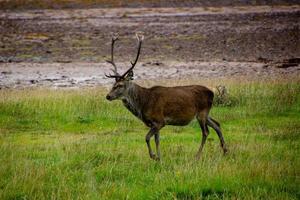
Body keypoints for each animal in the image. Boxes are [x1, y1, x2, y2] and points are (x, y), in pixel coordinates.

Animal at [105, 33, 227, 161]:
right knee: (217, 124)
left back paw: (197, 155)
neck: (143, 103)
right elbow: (157, 140)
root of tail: (212, 93)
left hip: (202, 112)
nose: (108, 96)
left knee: (206, 132)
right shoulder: (154, 123)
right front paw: (159, 158)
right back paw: (225, 151)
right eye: (113, 84)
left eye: (120, 85)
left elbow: (147, 138)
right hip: (205, 113)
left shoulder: (160, 120)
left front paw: (154, 156)